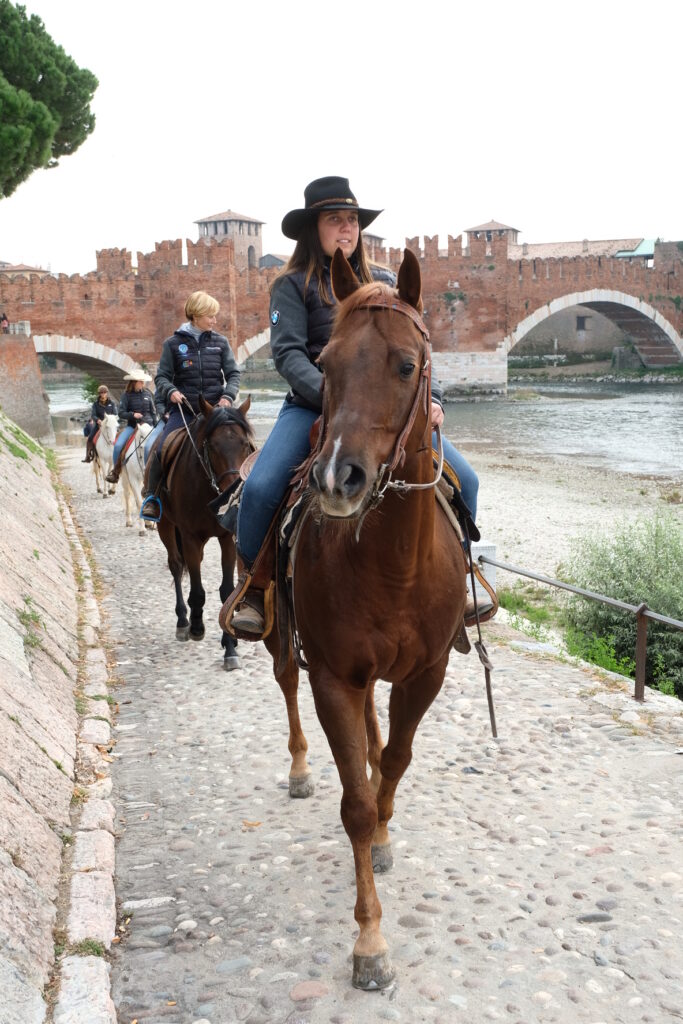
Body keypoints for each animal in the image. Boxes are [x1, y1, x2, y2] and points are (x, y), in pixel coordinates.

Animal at [227, 249, 466, 991]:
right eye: (326, 363)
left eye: (407, 365)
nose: (338, 479)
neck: (392, 564)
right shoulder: (333, 676)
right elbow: (354, 802)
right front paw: (369, 941)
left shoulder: (424, 675)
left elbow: (393, 762)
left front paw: (386, 835)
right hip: (281, 640)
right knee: (287, 688)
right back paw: (302, 768)